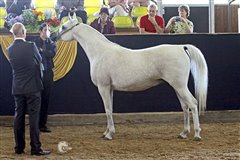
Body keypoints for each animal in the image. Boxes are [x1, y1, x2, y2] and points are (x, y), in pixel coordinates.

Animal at [58, 16, 208, 141]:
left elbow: (107, 110)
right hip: (177, 87)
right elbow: (109, 109)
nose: (55, 37)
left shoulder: (103, 87)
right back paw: (183, 133)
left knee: (193, 104)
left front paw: (109, 134)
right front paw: (106, 132)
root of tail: (181, 47)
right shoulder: (109, 88)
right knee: (185, 107)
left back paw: (197, 135)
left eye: (64, 27)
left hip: (180, 86)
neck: (100, 52)